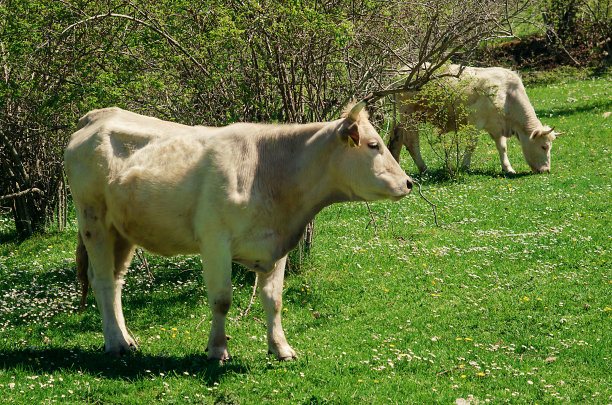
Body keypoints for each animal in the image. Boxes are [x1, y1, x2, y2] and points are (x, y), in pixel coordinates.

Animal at [64, 102, 414, 360]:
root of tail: (97, 115)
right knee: (102, 279)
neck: (271, 171)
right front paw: (218, 349)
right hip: (93, 219)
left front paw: (281, 348)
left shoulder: (275, 244)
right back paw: (115, 343)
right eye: (373, 145)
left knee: (116, 280)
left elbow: (274, 300)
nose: (409, 182)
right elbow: (221, 300)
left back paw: (127, 339)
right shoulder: (215, 242)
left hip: (122, 230)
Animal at [390, 64, 560, 174]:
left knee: (396, 137)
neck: (508, 96)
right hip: (410, 115)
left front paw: (508, 168)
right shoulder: (475, 120)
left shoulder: (497, 127)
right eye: (544, 146)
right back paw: (424, 168)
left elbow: (502, 147)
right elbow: (471, 145)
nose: (546, 170)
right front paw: (465, 166)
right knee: (411, 142)